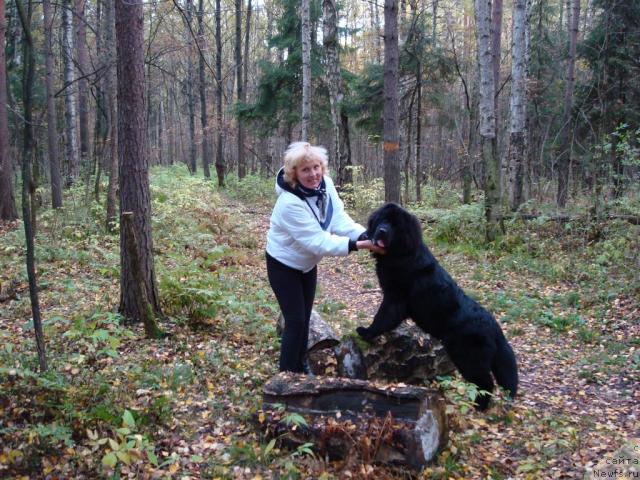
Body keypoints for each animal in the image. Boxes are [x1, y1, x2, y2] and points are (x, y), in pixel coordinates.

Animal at [358, 202, 516, 408]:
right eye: (382, 220)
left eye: (395, 225)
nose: (382, 231)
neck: (402, 252)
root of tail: (494, 326)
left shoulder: (395, 297)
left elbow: (383, 316)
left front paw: (367, 331)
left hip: (468, 356)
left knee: (485, 383)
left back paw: (478, 407)